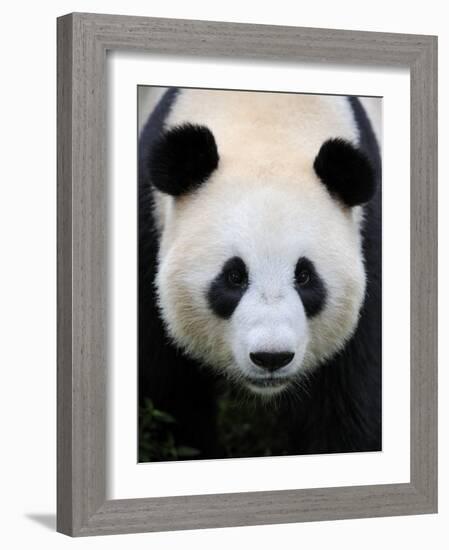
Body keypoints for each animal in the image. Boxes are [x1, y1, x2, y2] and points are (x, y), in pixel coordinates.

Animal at [138, 87, 380, 462]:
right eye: (234, 277)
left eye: (305, 277)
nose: (271, 357)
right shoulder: (149, 233)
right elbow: (170, 391)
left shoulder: (368, 240)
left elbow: (347, 398)